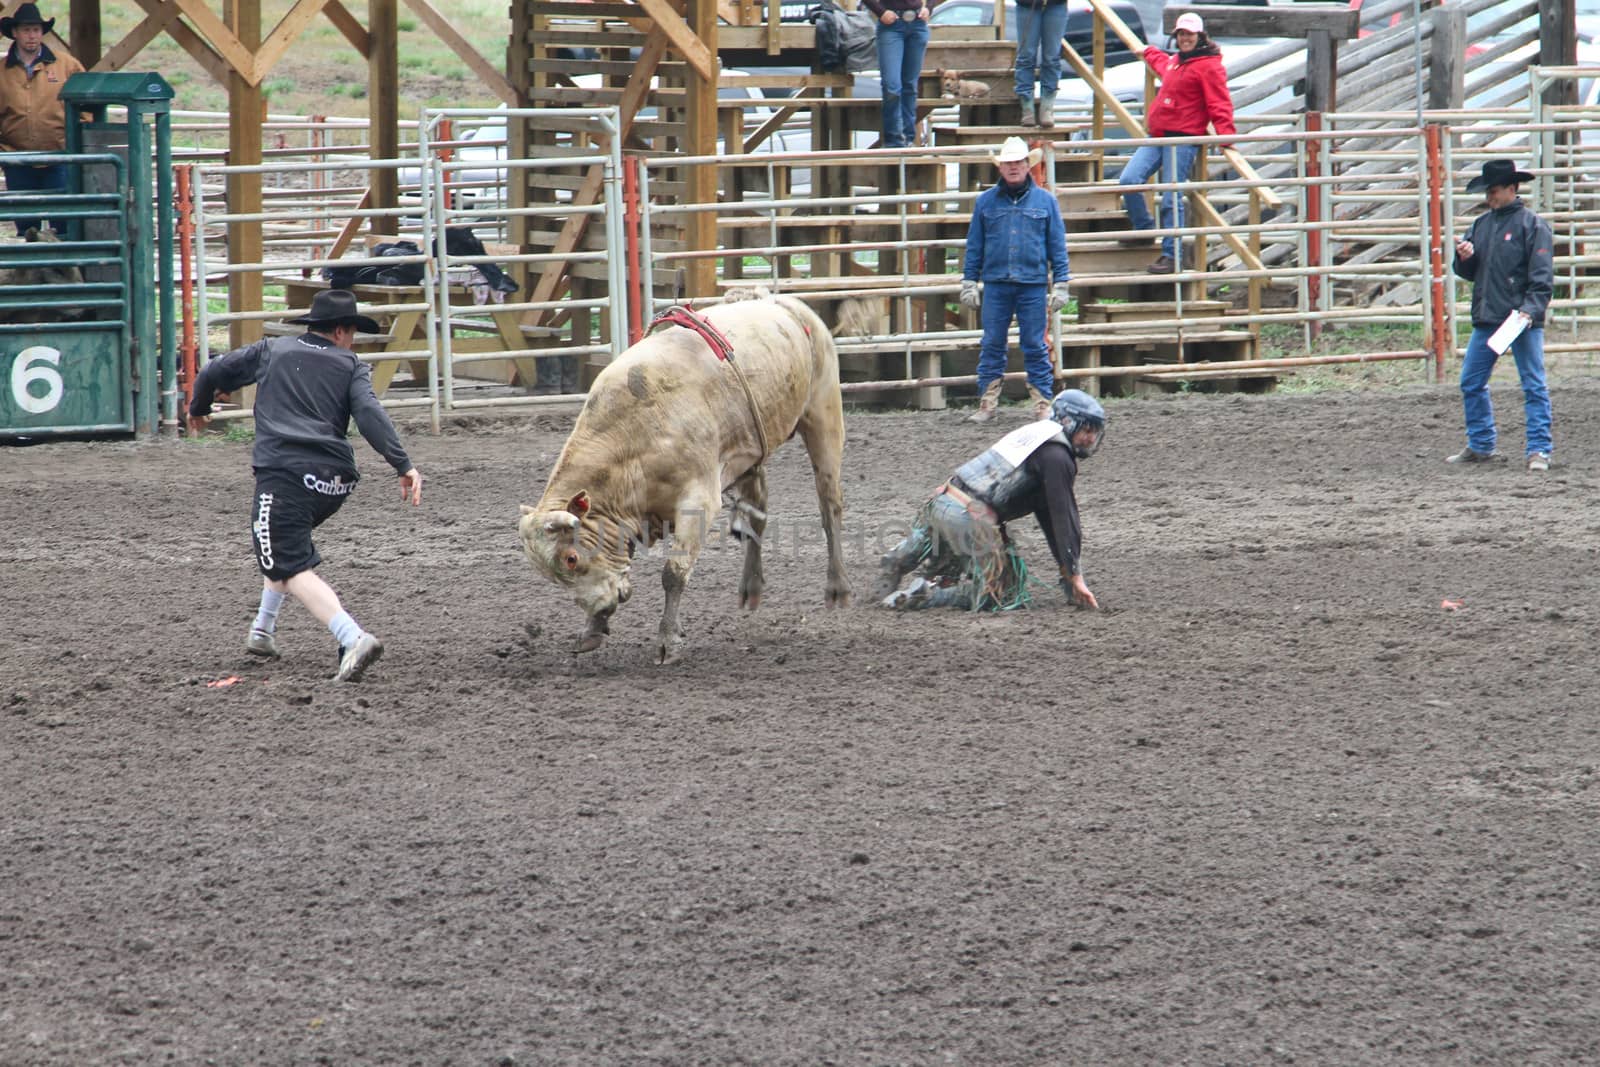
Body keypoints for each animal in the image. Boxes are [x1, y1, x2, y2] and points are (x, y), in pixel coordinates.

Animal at [521, 287, 851, 662]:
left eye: (571, 558)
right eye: (553, 574)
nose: (603, 606)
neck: (635, 433)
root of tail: (783, 302)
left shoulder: (699, 500)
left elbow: (673, 574)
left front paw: (667, 639)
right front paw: (593, 628)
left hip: (824, 414)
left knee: (829, 506)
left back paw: (838, 587)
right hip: (751, 453)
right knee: (758, 514)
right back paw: (750, 587)